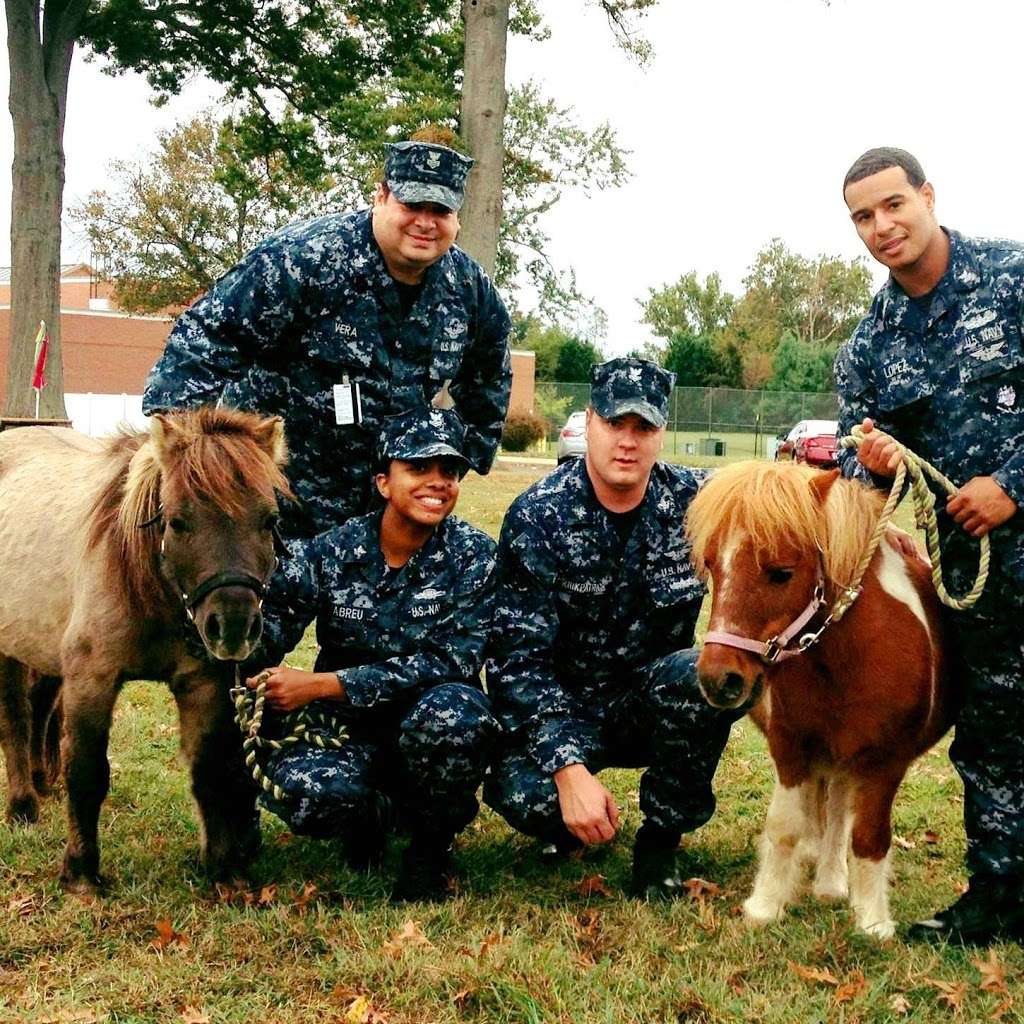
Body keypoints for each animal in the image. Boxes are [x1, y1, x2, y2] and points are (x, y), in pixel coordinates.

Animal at [0, 405, 290, 888]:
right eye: (177, 520)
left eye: (269, 520)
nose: (233, 626)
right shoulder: (93, 680)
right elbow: (87, 772)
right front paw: (82, 872)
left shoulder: (202, 685)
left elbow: (207, 771)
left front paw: (223, 869)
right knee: (16, 719)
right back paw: (23, 804)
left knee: (40, 707)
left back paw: (42, 781)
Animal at [684, 460, 954, 937]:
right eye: (712, 565)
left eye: (781, 572)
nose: (719, 681)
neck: (845, 658)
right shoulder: (790, 748)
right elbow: (785, 826)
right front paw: (765, 906)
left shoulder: (886, 762)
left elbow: (868, 838)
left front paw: (872, 922)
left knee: (840, 810)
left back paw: (832, 883)